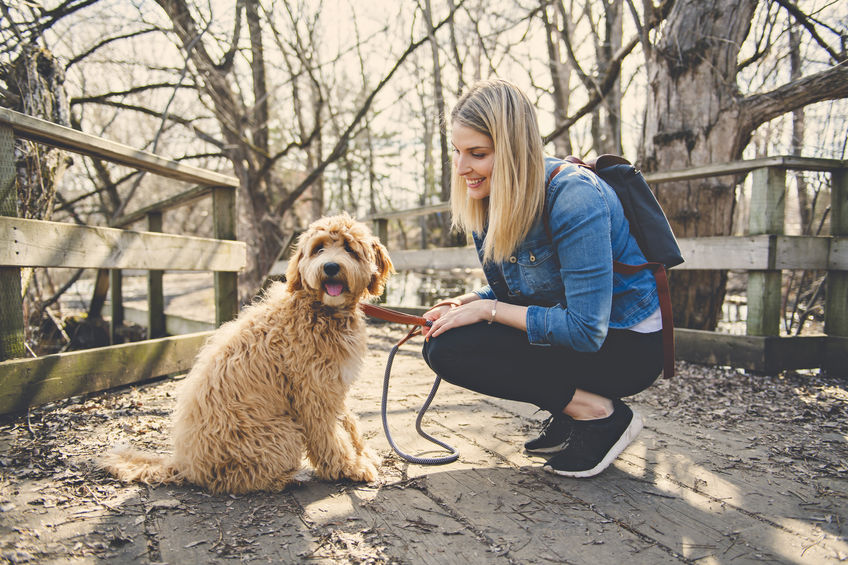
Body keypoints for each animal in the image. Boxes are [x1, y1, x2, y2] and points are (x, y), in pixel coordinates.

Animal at [100, 214, 394, 492]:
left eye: (349, 248)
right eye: (319, 249)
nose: (330, 267)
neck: (317, 309)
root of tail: (186, 464)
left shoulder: (334, 385)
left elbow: (350, 424)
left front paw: (364, 454)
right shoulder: (313, 392)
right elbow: (330, 435)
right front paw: (349, 467)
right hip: (282, 433)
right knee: (236, 479)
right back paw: (285, 479)